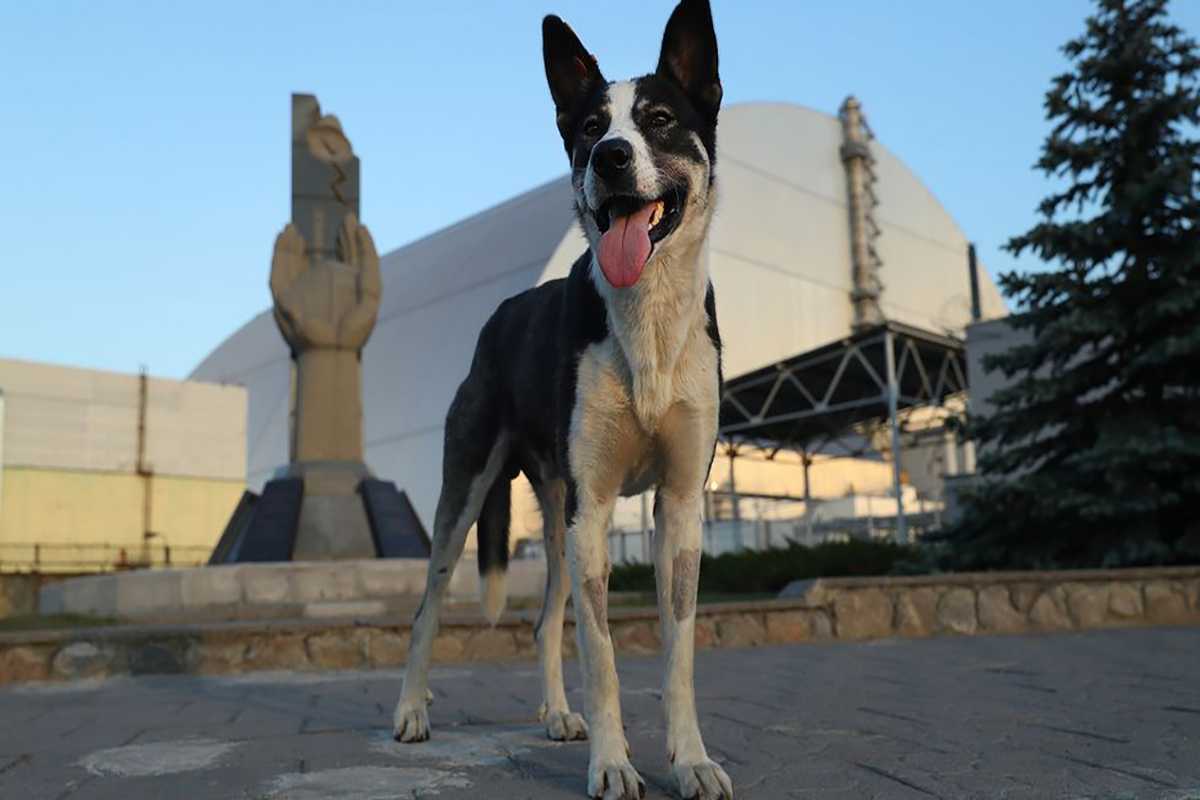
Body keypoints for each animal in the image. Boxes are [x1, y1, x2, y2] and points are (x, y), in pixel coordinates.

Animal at [396, 3, 729, 796]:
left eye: (660, 119)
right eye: (589, 127)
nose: (609, 157)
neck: (647, 320)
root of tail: (499, 315)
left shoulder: (678, 505)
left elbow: (678, 652)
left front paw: (690, 759)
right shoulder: (595, 505)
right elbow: (602, 657)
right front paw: (613, 764)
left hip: (554, 517)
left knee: (547, 618)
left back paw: (554, 714)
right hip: (472, 494)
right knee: (428, 606)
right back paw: (411, 712)